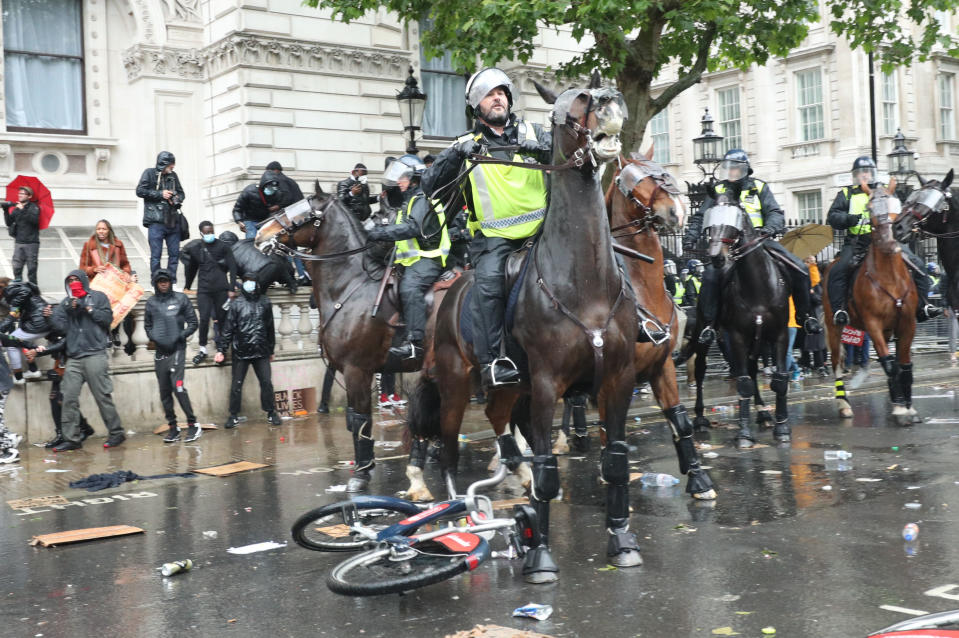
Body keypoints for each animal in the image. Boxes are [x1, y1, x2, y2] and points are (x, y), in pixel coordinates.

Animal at [255, 189, 432, 490]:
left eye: (301, 211)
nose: (259, 233)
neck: (349, 287)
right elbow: (354, 419)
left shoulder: (357, 369)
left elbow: (361, 420)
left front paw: (360, 475)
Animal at [404, 84, 636, 584]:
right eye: (573, 103)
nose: (611, 102)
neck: (584, 283)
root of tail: (449, 293)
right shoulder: (549, 385)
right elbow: (548, 470)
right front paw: (541, 556)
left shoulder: (617, 379)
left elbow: (615, 461)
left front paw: (622, 540)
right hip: (456, 385)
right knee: (447, 449)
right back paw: (460, 517)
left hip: (514, 387)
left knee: (497, 415)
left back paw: (509, 467)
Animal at [820, 179, 920, 424]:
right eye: (870, 209)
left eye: (898, 204)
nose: (891, 240)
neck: (890, 278)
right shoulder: (873, 323)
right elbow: (890, 364)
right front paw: (901, 408)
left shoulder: (908, 323)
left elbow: (904, 366)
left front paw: (906, 406)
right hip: (834, 326)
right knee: (837, 363)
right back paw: (843, 405)